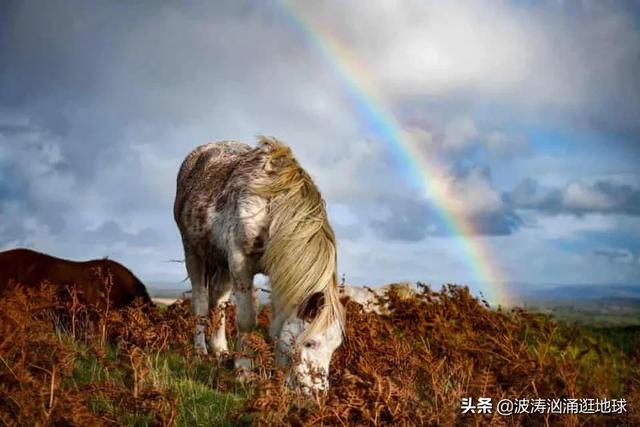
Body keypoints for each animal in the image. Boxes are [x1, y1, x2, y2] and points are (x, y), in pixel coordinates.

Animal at [172, 137, 344, 392]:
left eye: (335, 347)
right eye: (311, 343)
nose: (317, 393)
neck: (270, 209)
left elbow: (275, 325)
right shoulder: (240, 263)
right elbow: (246, 320)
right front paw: (244, 372)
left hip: (222, 264)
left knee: (219, 300)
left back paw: (220, 350)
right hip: (193, 251)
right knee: (201, 302)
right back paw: (200, 351)